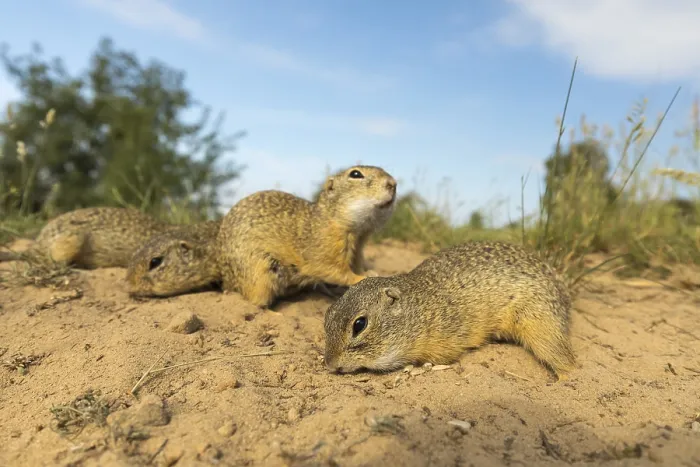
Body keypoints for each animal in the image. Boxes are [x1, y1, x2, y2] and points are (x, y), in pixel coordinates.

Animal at [215, 165, 398, 308]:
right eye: (355, 174)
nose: (393, 184)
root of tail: (228, 281)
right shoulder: (327, 250)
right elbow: (337, 272)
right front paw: (362, 277)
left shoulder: (358, 250)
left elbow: (357, 266)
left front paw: (370, 271)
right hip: (260, 274)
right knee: (256, 303)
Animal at [323, 240, 576, 380]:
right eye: (327, 316)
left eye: (359, 324)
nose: (330, 364)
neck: (422, 307)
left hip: (541, 324)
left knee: (566, 361)